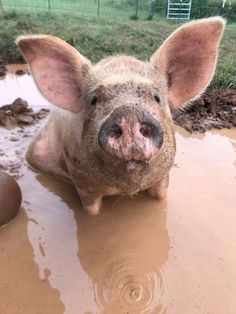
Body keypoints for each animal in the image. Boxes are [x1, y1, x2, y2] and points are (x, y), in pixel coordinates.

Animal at [16, 16, 225, 213]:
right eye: (94, 99)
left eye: (156, 97)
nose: (129, 111)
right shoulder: (83, 184)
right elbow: (91, 211)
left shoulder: (163, 178)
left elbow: (160, 199)